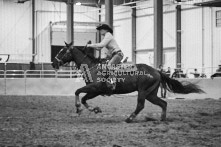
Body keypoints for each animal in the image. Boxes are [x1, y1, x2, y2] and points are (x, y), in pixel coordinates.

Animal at [51, 41, 204, 123]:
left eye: (62, 50)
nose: (54, 63)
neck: (92, 67)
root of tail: (156, 71)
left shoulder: (95, 88)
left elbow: (77, 92)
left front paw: (78, 108)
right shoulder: (95, 91)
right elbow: (83, 98)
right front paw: (95, 109)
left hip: (143, 92)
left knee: (141, 105)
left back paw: (129, 118)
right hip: (151, 94)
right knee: (163, 103)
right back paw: (162, 119)